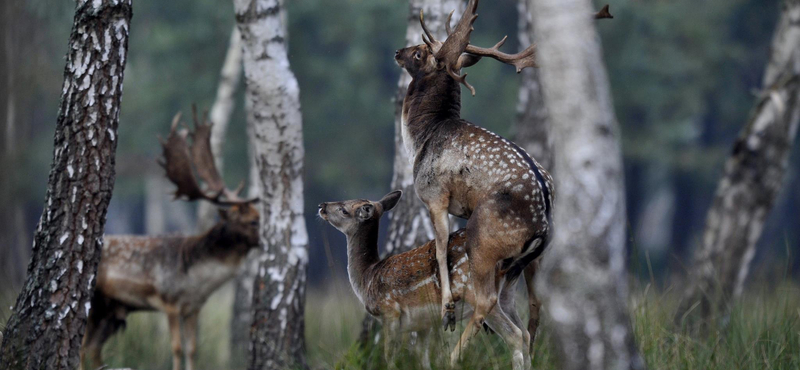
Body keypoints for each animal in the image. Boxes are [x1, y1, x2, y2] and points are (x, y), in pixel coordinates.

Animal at [80, 110, 260, 370]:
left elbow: (193, 349)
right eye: (253, 221)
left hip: (112, 311)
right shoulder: (170, 301)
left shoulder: (194, 308)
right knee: (82, 346)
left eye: (259, 217)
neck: (196, 281)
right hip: (95, 304)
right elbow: (176, 348)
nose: (263, 240)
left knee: (93, 347)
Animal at [318, 191, 536, 370]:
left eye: (344, 209)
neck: (367, 277)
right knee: (525, 334)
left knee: (514, 335)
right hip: (508, 292)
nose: (322, 205)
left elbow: (390, 357)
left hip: (473, 289)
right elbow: (422, 359)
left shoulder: (390, 311)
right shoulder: (424, 324)